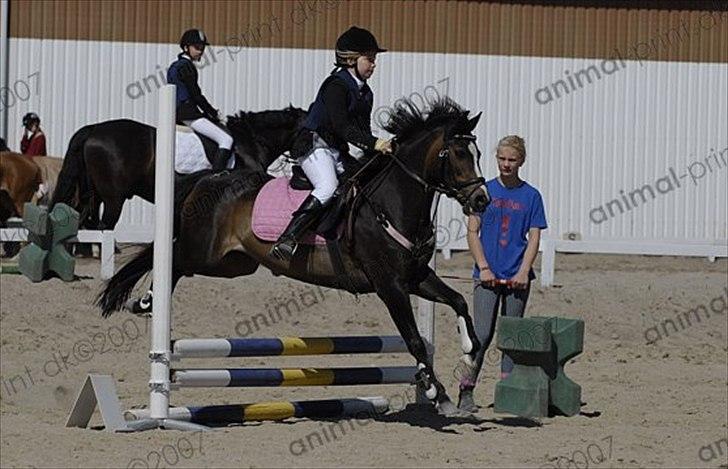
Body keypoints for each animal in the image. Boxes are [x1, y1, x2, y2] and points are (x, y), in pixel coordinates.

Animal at [98, 98, 490, 415]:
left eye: (478, 154)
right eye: (458, 154)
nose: (481, 200)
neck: (391, 203)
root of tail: (211, 178)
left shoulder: (415, 277)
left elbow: (458, 301)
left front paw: (469, 350)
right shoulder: (389, 285)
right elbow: (414, 340)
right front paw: (439, 394)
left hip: (233, 264)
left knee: (178, 263)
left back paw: (146, 302)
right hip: (204, 252)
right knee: (173, 260)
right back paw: (146, 302)